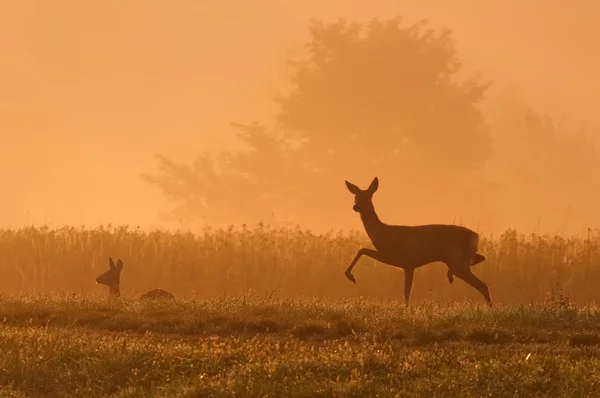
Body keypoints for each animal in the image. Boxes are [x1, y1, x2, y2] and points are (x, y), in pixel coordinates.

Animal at [342, 179, 492, 306]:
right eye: (355, 197)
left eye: (367, 197)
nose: (355, 207)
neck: (382, 233)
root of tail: (475, 235)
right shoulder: (408, 265)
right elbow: (406, 292)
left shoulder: (396, 257)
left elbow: (362, 250)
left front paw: (350, 276)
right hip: (458, 258)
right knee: (479, 260)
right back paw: (450, 276)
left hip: (456, 259)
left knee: (483, 285)